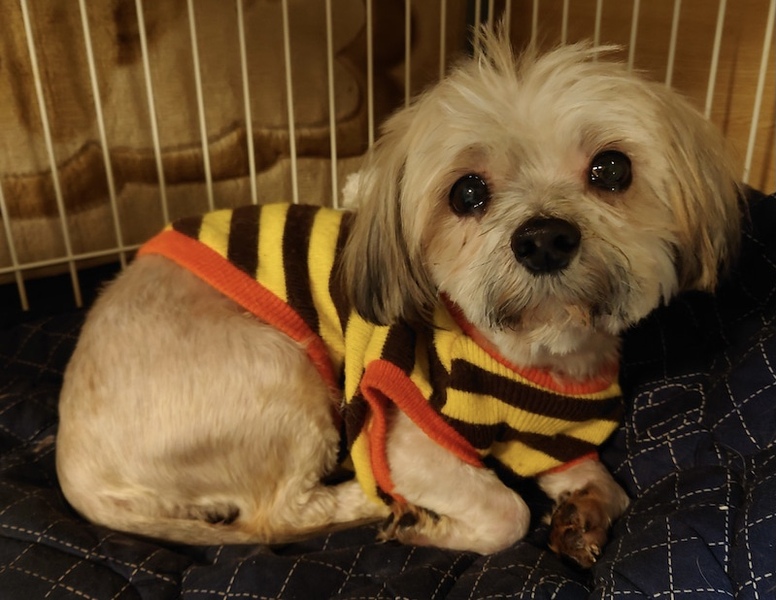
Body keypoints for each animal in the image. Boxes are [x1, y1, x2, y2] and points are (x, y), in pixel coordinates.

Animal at [56, 29, 741, 568]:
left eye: (611, 170)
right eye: (467, 193)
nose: (544, 238)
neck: (534, 358)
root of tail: (76, 464)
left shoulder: (559, 439)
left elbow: (607, 486)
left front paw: (581, 518)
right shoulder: (407, 440)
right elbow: (505, 512)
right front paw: (430, 525)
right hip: (283, 375)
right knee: (281, 513)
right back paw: (372, 504)